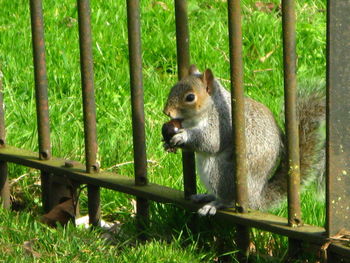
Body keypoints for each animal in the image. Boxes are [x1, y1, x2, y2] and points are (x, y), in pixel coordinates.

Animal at [163, 65, 324, 217]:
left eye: (190, 97)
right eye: (173, 88)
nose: (166, 112)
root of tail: (255, 198)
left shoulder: (222, 123)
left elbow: (211, 142)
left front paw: (183, 136)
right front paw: (167, 142)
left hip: (222, 173)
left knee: (229, 199)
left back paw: (215, 204)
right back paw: (206, 196)